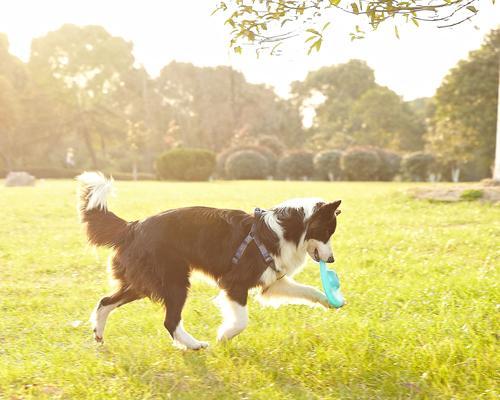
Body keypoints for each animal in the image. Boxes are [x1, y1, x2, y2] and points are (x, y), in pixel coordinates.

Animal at [78, 172, 342, 350]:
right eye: (327, 232)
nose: (331, 259)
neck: (287, 229)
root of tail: (132, 226)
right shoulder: (235, 282)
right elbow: (242, 320)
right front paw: (224, 335)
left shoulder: (272, 281)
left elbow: (307, 290)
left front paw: (328, 301)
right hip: (173, 280)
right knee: (170, 321)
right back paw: (194, 345)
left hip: (143, 282)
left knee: (105, 301)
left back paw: (98, 334)